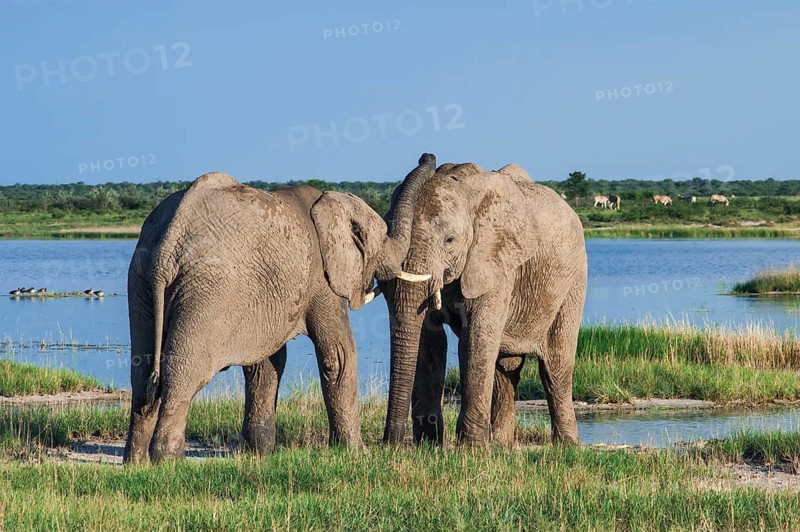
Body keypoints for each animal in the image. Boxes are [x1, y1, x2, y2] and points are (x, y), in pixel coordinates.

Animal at [124, 172, 403, 462]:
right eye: (384, 237)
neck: (330, 201)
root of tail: (168, 244)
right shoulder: (322, 279)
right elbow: (339, 355)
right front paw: (358, 454)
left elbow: (266, 362)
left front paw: (258, 454)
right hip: (206, 289)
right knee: (183, 373)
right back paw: (167, 460)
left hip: (141, 278)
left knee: (141, 371)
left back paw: (136, 462)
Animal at [380, 154, 588, 446]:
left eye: (450, 240)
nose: (391, 443)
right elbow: (429, 340)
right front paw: (430, 445)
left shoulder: (496, 261)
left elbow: (476, 337)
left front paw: (471, 447)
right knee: (505, 366)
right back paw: (501, 444)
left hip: (574, 278)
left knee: (555, 364)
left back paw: (566, 444)